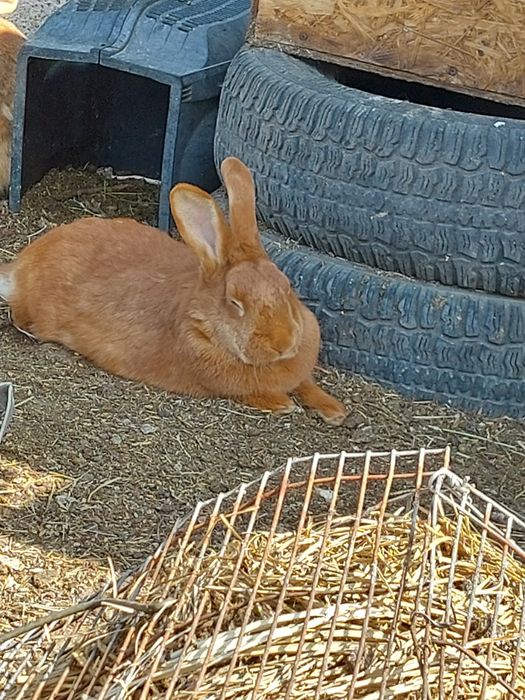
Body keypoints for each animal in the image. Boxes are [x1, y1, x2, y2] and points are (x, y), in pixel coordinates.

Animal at [0, 157, 348, 424]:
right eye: (235, 303)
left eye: (287, 286)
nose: (284, 343)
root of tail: (22, 265)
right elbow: (256, 392)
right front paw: (284, 405)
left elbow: (308, 385)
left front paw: (334, 410)